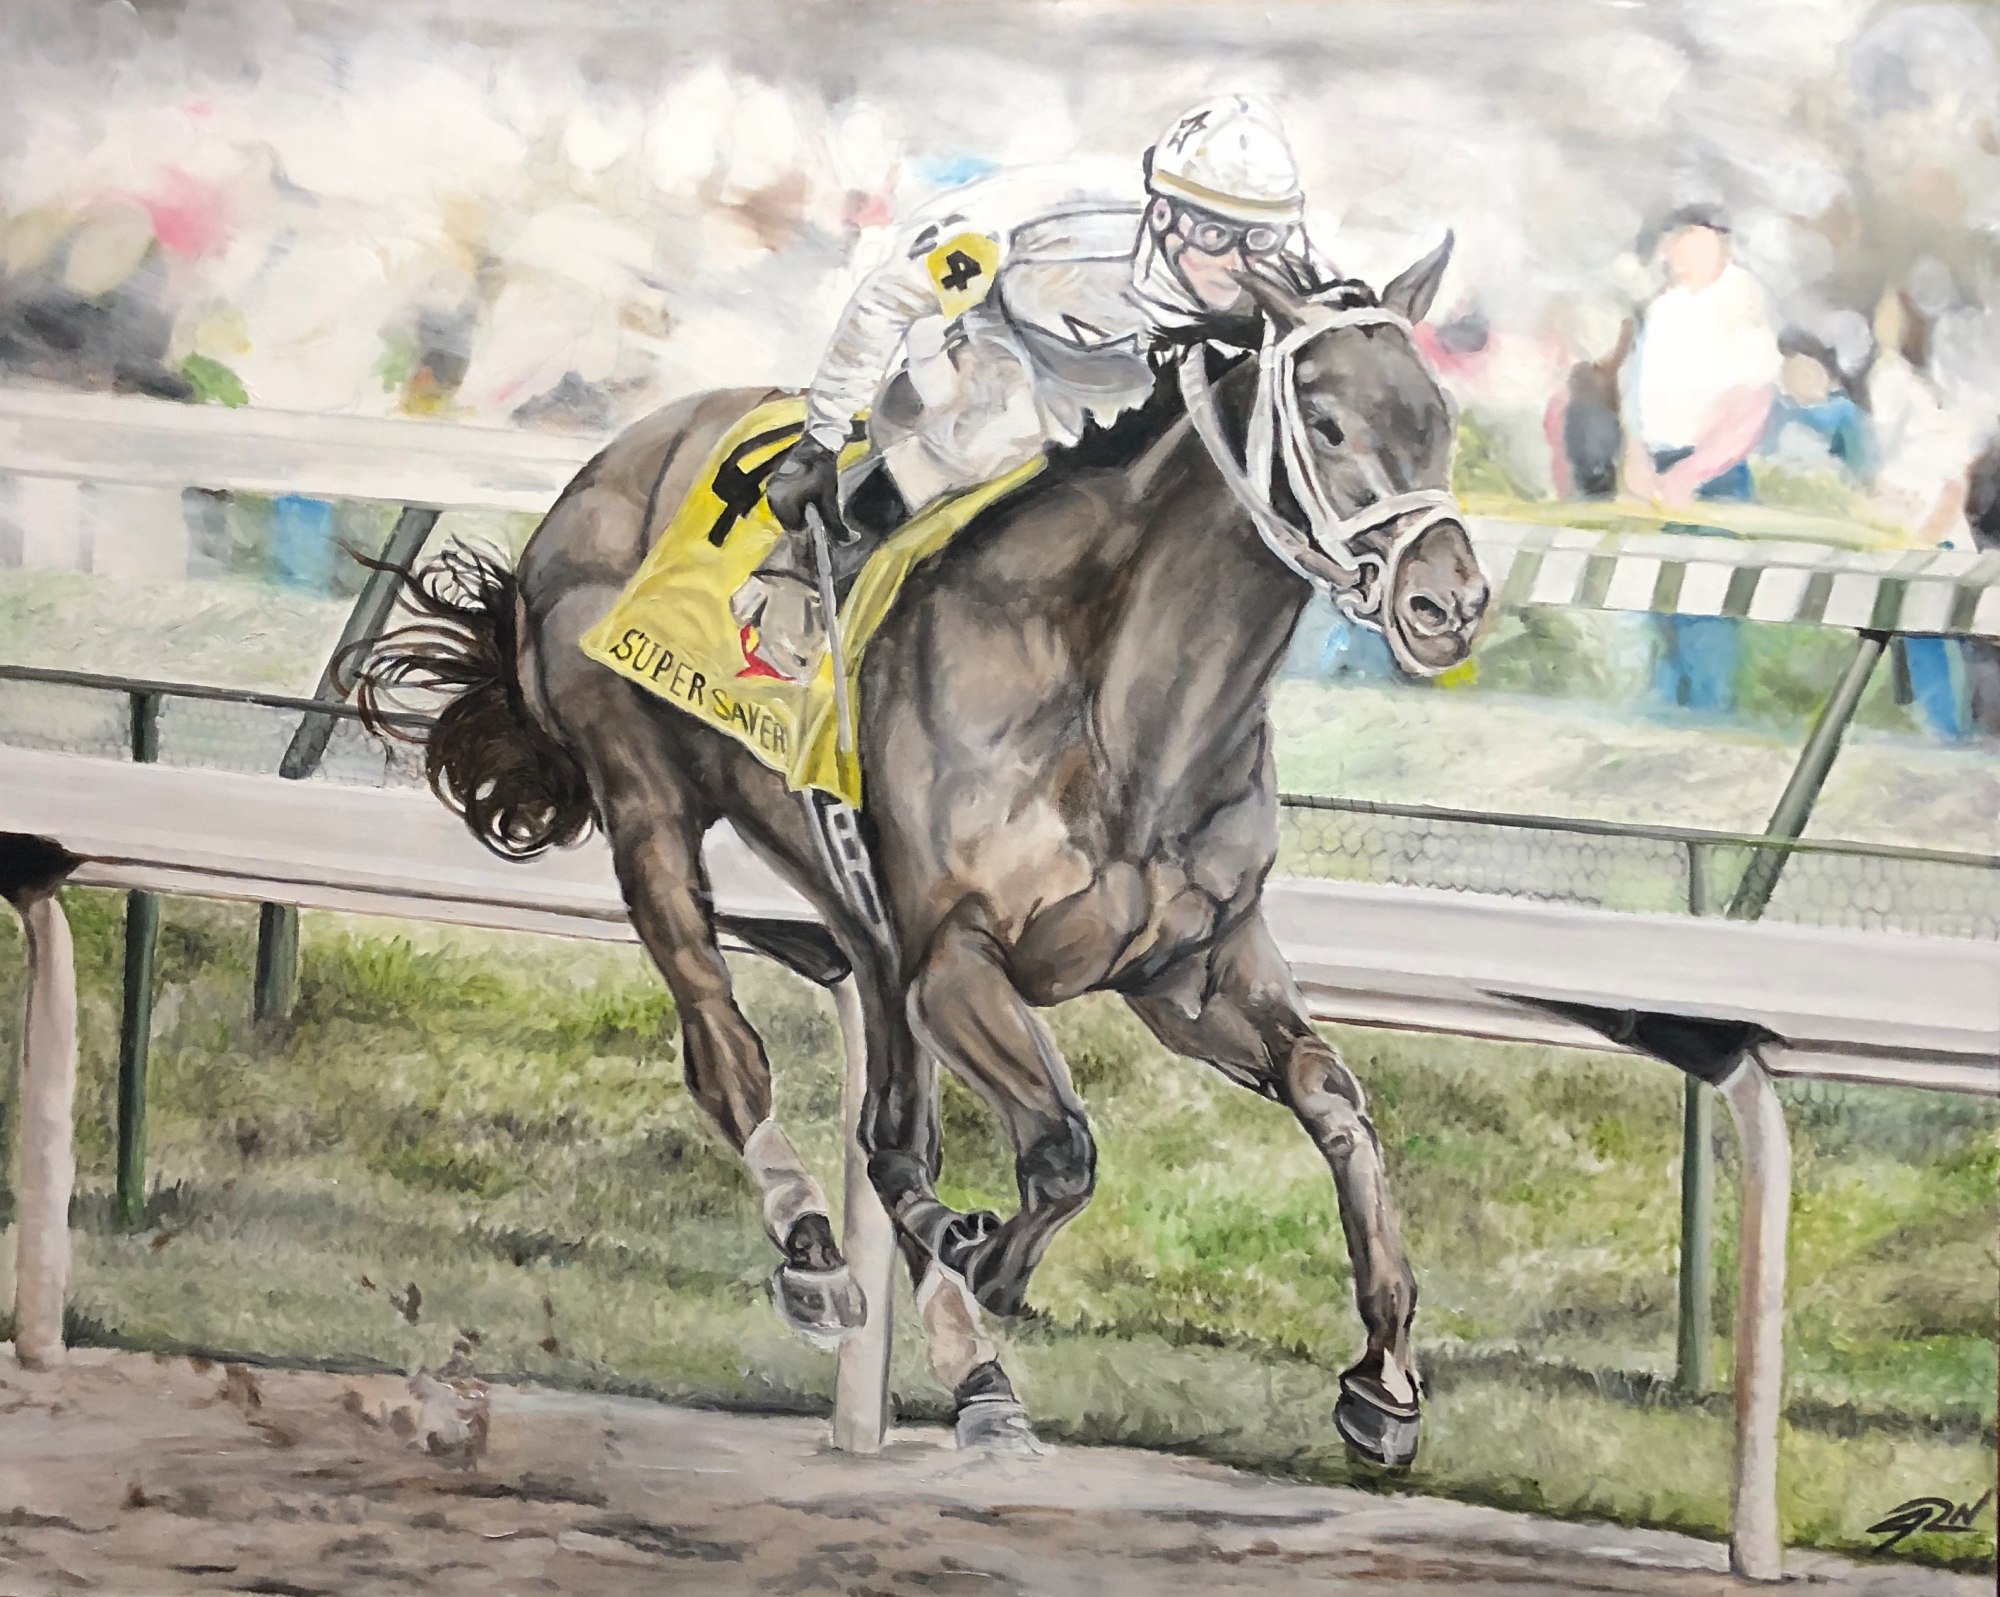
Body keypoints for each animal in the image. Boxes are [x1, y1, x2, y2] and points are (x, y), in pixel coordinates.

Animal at [357, 245, 1490, 1465]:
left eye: (1438, 420)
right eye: (1325, 424)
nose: (1449, 601)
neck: (1117, 712)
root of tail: (605, 463)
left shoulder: (1187, 967)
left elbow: (1334, 1100)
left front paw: (1384, 1381)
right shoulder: (956, 960)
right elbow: (1059, 1146)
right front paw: (986, 1260)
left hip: (854, 913)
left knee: (889, 1132)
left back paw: (976, 1376)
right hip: (646, 802)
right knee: (727, 1050)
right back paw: (816, 1246)